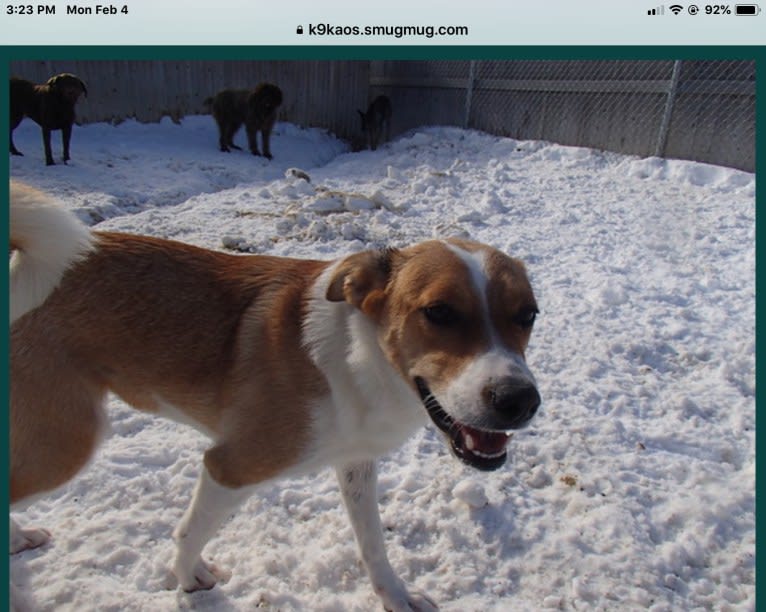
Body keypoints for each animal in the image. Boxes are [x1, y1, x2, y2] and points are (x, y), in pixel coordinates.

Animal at [10, 179, 540, 608]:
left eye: (528, 315)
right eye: (440, 312)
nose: (520, 402)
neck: (359, 359)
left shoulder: (356, 462)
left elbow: (373, 544)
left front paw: (396, 597)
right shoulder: (229, 466)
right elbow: (190, 532)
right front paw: (188, 579)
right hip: (67, 442)